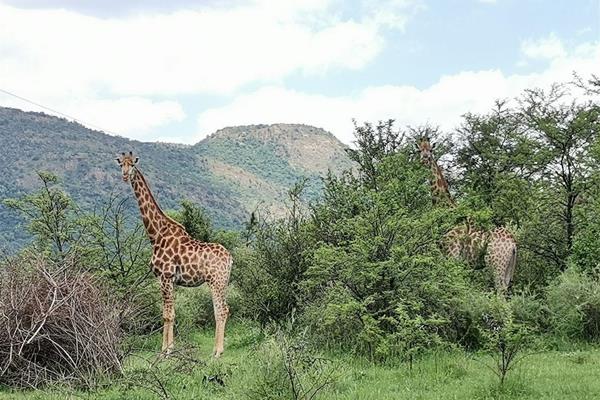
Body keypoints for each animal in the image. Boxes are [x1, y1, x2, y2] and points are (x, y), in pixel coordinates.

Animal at [115, 151, 232, 356]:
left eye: (133, 164)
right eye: (121, 163)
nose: (124, 175)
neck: (155, 234)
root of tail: (231, 259)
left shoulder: (165, 276)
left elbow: (167, 315)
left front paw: (165, 351)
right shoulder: (171, 280)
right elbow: (172, 313)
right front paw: (170, 348)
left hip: (215, 281)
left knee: (221, 310)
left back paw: (217, 352)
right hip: (223, 281)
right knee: (223, 309)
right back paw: (218, 350)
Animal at [414, 138, 516, 290]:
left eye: (431, 150)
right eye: (419, 150)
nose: (425, 159)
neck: (446, 207)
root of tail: (514, 244)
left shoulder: (452, 253)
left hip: (496, 264)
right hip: (508, 268)